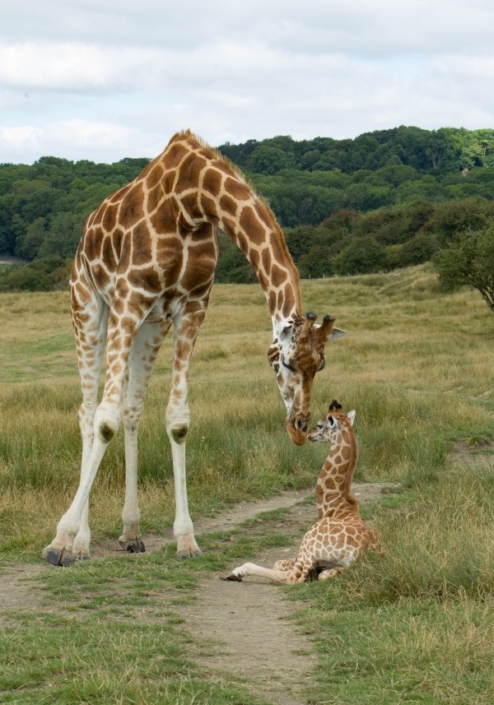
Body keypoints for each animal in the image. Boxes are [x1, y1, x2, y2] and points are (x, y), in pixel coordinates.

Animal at [42, 130, 345, 567]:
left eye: (320, 365)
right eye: (284, 362)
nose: (300, 430)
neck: (193, 201)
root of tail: (84, 235)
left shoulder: (193, 304)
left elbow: (177, 420)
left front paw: (186, 540)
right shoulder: (130, 295)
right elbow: (104, 419)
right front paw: (61, 541)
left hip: (150, 326)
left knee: (131, 411)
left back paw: (131, 532)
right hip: (88, 305)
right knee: (88, 412)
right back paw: (80, 542)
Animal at [222, 401, 380, 583]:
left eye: (319, 425)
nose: (308, 434)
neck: (335, 504)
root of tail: (362, 550)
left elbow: (277, 564)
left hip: (308, 544)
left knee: (292, 577)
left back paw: (238, 572)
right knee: (324, 575)